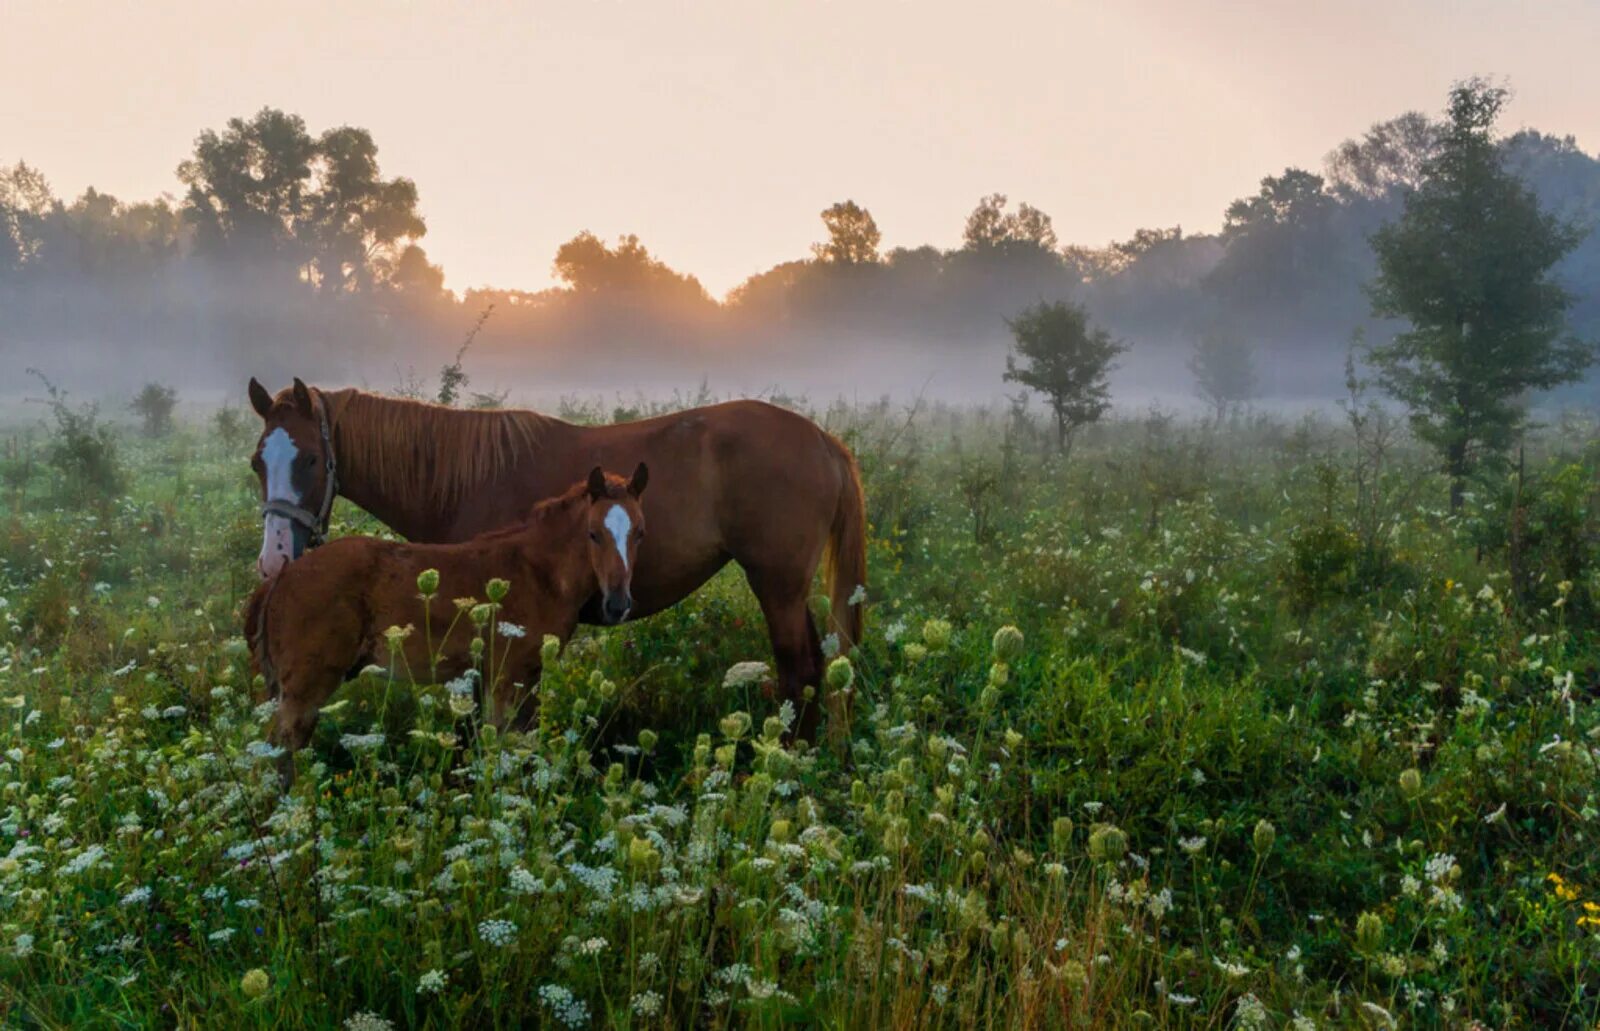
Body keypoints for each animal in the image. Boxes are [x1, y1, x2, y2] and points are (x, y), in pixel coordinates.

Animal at [243, 467, 643, 781]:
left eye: (639, 532)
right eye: (593, 533)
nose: (618, 604)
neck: (536, 572)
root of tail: (281, 578)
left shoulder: (523, 676)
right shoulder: (506, 674)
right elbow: (502, 743)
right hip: (306, 687)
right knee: (277, 752)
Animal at [246, 377, 864, 739]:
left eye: (308, 460)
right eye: (258, 461)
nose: (275, 559)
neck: (455, 480)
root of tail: (822, 440)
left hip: (777, 586)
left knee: (799, 672)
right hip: (788, 590)